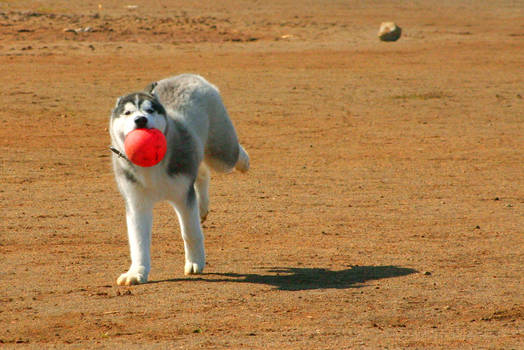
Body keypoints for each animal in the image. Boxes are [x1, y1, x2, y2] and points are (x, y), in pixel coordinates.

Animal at [108, 74, 250, 284]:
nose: (140, 119)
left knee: (230, 154)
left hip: (220, 153)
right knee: (202, 171)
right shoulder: (137, 203)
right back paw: (202, 208)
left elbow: (190, 232)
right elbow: (138, 241)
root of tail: (189, 76)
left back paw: (244, 162)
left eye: (150, 110)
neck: (152, 166)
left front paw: (195, 262)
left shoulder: (183, 196)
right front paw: (137, 272)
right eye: (127, 112)